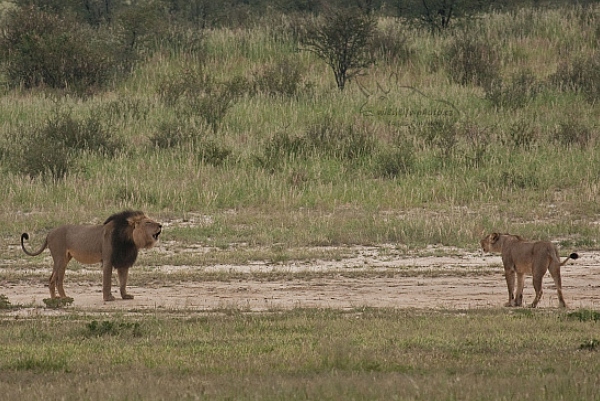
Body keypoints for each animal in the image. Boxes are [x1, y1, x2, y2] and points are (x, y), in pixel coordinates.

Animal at [21, 209, 162, 300]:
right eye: (148, 222)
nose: (160, 225)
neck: (129, 240)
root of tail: (49, 233)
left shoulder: (123, 262)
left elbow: (123, 281)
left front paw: (125, 296)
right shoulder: (108, 260)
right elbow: (107, 280)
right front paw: (108, 298)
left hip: (66, 258)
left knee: (58, 279)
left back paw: (61, 299)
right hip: (59, 257)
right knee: (52, 279)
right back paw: (57, 300)